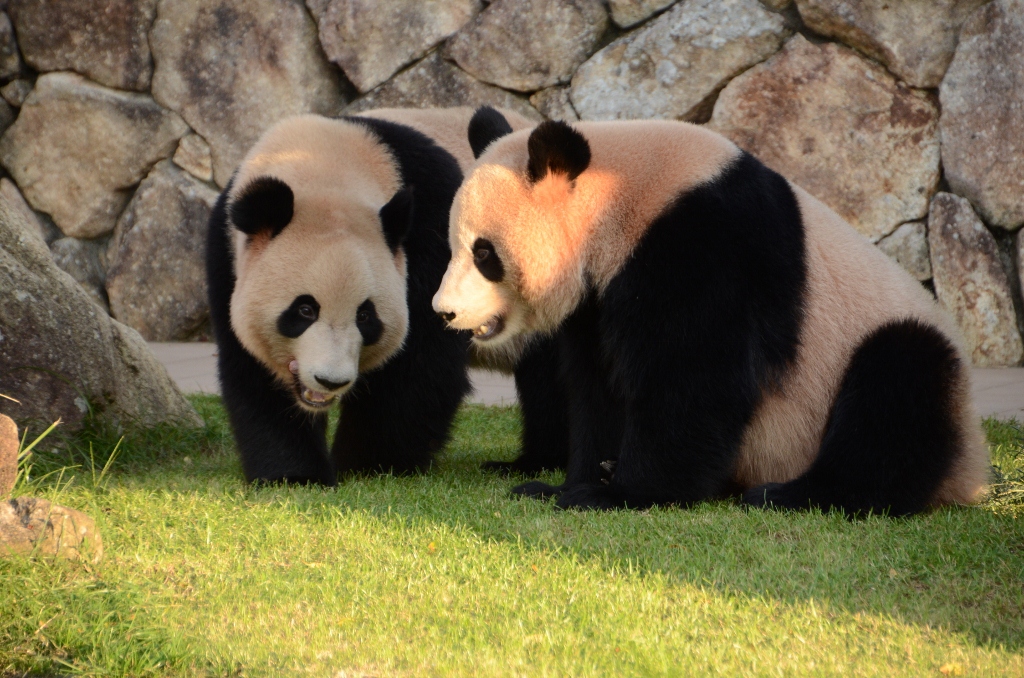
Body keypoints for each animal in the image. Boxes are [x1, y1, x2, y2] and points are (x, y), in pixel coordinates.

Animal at [204, 109, 569, 485]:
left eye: (366, 316)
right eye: (304, 310)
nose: (330, 381)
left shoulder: (428, 241)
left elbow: (419, 366)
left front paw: (365, 465)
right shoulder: (227, 259)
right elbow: (252, 371)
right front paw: (294, 474)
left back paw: (535, 462)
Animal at [432, 119, 991, 518]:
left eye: (485, 253)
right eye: (454, 246)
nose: (444, 312)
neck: (615, 196)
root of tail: (972, 475)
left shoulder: (707, 242)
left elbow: (693, 379)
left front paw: (621, 493)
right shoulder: (599, 297)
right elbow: (599, 386)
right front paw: (568, 482)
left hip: (884, 369)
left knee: (899, 381)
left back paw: (792, 495)